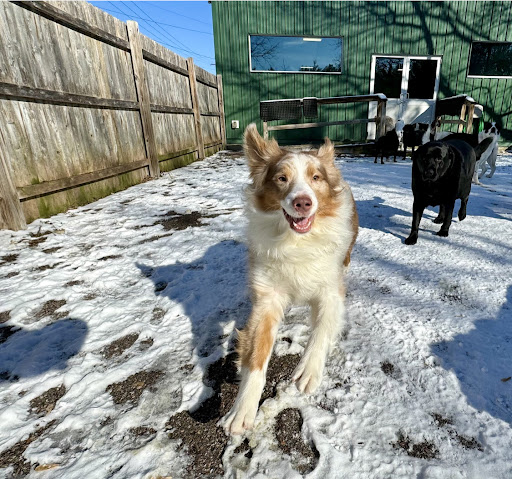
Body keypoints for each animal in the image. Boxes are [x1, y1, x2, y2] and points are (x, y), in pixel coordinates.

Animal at [221, 124, 360, 436]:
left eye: (315, 178)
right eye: (281, 178)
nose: (302, 202)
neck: (296, 242)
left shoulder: (330, 292)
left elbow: (321, 331)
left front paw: (308, 369)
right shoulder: (267, 298)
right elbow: (256, 355)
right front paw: (242, 409)